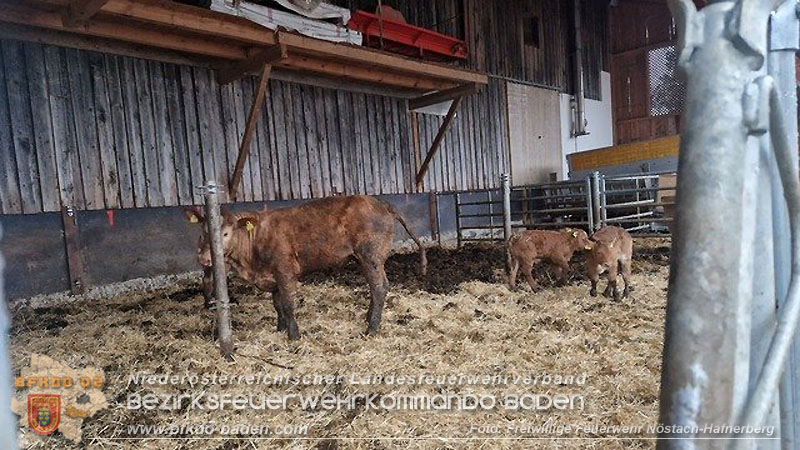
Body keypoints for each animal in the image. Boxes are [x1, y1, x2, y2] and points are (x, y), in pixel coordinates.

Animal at [185, 195, 427, 340]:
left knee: (379, 287)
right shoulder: (272, 276)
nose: (205, 259)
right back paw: (368, 320)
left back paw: (372, 328)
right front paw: (280, 329)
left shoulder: (285, 271)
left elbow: (288, 304)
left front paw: (293, 336)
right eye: (202, 232)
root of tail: (380, 202)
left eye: (225, 233)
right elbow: (277, 305)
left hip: (372, 256)